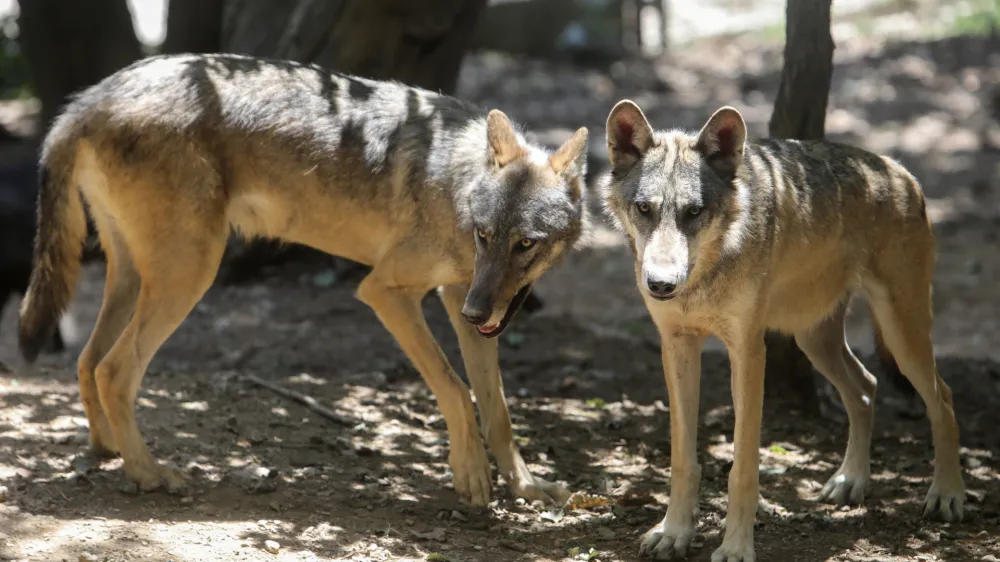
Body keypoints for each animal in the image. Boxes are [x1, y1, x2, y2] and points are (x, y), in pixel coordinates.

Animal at [17, 52, 592, 506]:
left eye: (525, 244)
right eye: (484, 234)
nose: (478, 311)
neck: (457, 182)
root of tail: (89, 98)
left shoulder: (459, 298)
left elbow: (498, 409)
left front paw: (527, 487)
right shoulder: (387, 292)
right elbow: (455, 388)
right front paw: (470, 472)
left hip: (137, 277)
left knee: (87, 362)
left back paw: (108, 450)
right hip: (190, 274)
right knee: (114, 370)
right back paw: (147, 474)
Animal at [596, 100, 964, 560]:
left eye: (693, 212)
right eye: (644, 208)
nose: (661, 285)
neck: (706, 273)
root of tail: (899, 170)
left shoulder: (749, 351)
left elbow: (742, 467)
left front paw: (735, 547)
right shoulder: (677, 345)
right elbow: (682, 458)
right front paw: (674, 532)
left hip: (901, 334)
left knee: (942, 398)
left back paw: (946, 494)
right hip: (814, 340)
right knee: (866, 386)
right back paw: (851, 481)